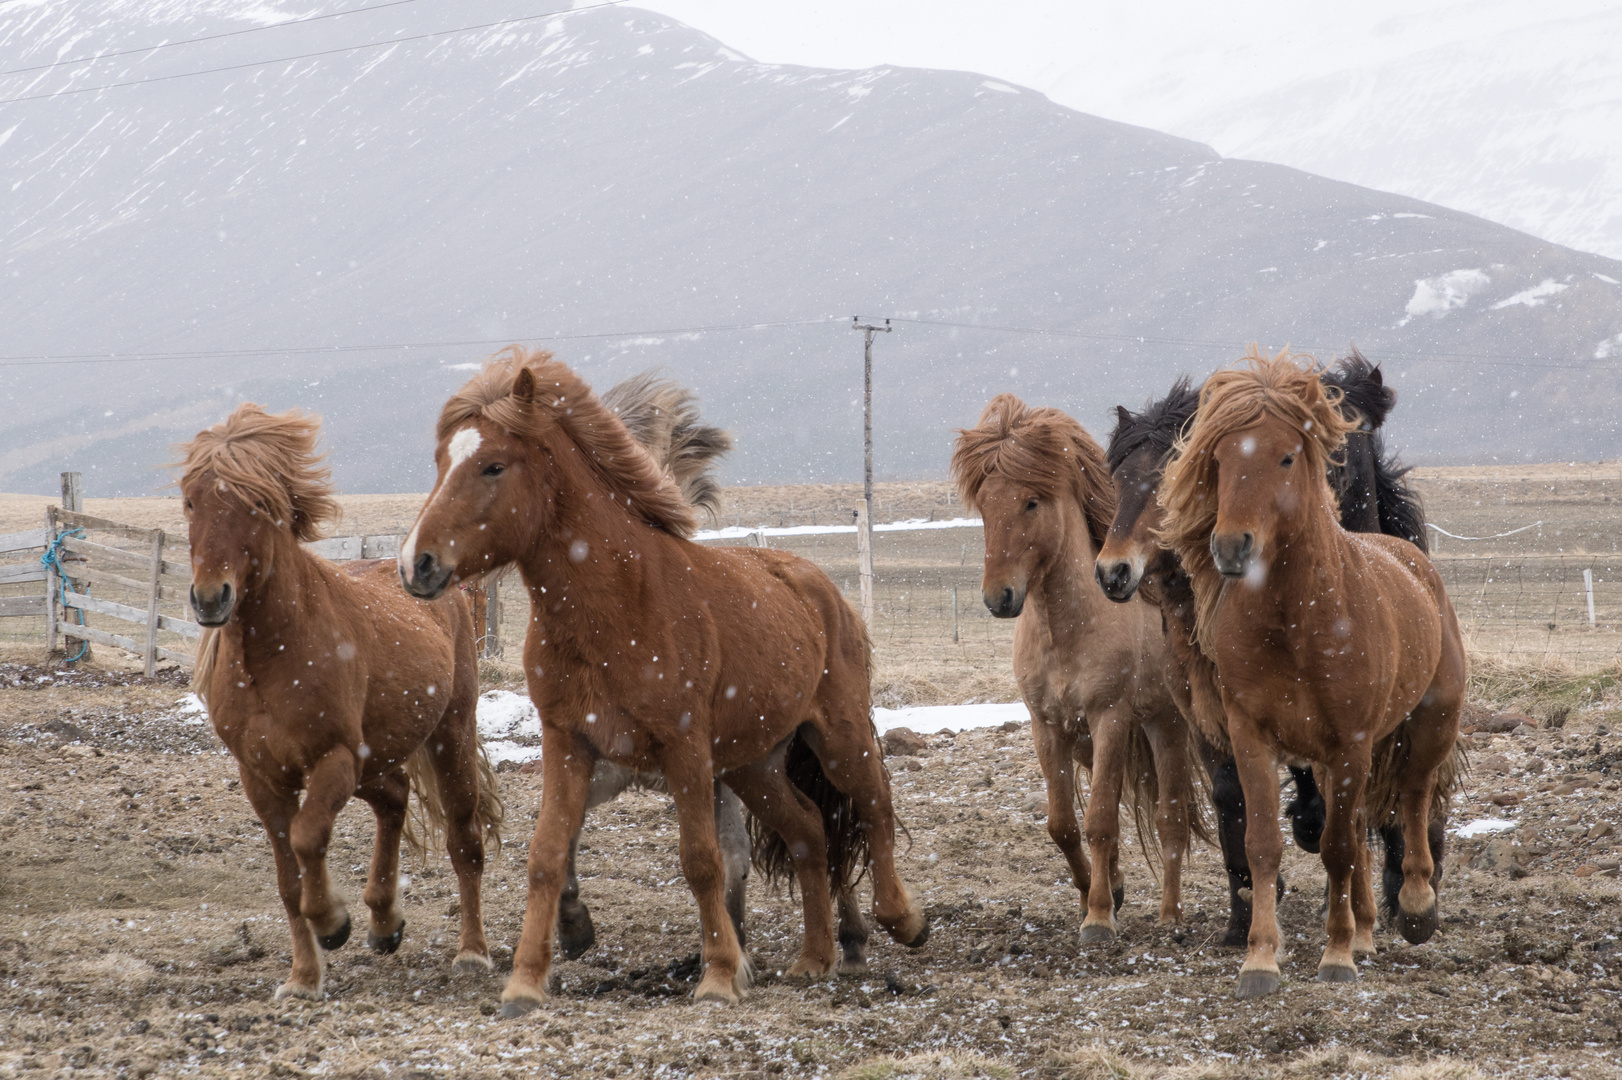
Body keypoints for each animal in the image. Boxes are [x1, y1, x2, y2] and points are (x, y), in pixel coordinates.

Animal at [180, 403, 502, 998]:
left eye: (257, 504)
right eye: (191, 500)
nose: (211, 599)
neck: (273, 656)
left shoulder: (332, 759)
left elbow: (308, 839)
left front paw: (333, 921)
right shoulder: (261, 777)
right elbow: (288, 879)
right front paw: (304, 978)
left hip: (448, 733)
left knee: (464, 839)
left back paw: (472, 952)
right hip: (375, 756)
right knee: (394, 799)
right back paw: (384, 921)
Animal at [395, 347, 927, 1011]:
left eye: (493, 465)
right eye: (442, 462)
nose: (415, 564)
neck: (618, 608)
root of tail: (817, 583)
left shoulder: (684, 749)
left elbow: (703, 860)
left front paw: (720, 975)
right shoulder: (569, 744)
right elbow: (548, 854)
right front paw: (525, 980)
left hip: (837, 734)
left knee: (873, 804)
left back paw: (900, 921)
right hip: (754, 763)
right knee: (809, 830)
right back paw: (814, 958)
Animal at [947, 394, 1206, 940]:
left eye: (1031, 502)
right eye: (984, 504)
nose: (1000, 597)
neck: (1064, 631)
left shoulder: (1110, 718)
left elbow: (1102, 821)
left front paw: (1100, 918)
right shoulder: (1047, 726)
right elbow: (1063, 824)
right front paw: (1098, 894)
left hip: (1164, 724)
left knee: (1170, 817)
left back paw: (1170, 914)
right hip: (1089, 739)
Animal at [1161, 348, 1466, 998]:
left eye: (1285, 456)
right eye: (1219, 458)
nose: (1231, 547)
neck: (1296, 622)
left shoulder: (1351, 742)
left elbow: (1338, 848)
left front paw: (1336, 955)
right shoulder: (1251, 737)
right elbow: (1264, 846)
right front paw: (1260, 961)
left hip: (1429, 724)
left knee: (1412, 795)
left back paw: (1416, 908)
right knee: (1366, 819)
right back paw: (1368, 930)